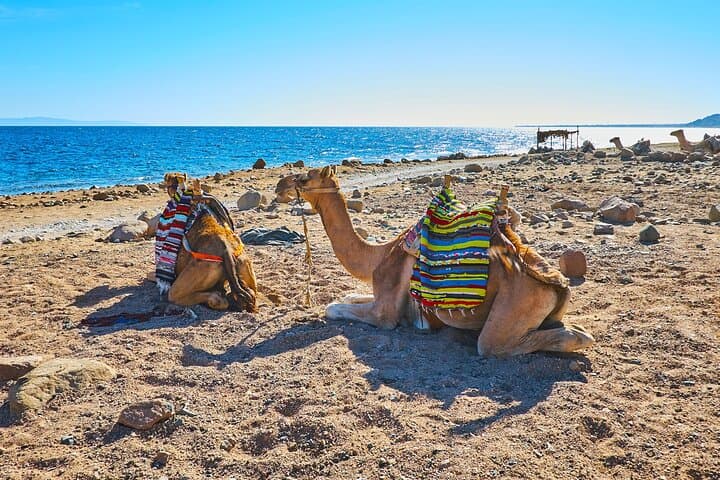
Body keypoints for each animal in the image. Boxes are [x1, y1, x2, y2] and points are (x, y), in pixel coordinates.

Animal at [275, 167, 594, 357]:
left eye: (304, 178)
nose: (279, 186)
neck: (377, 256)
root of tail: (558, 283)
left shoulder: (385, 313)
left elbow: (333, 307)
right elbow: (348, 295)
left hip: (510, 310)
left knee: (496, 345)